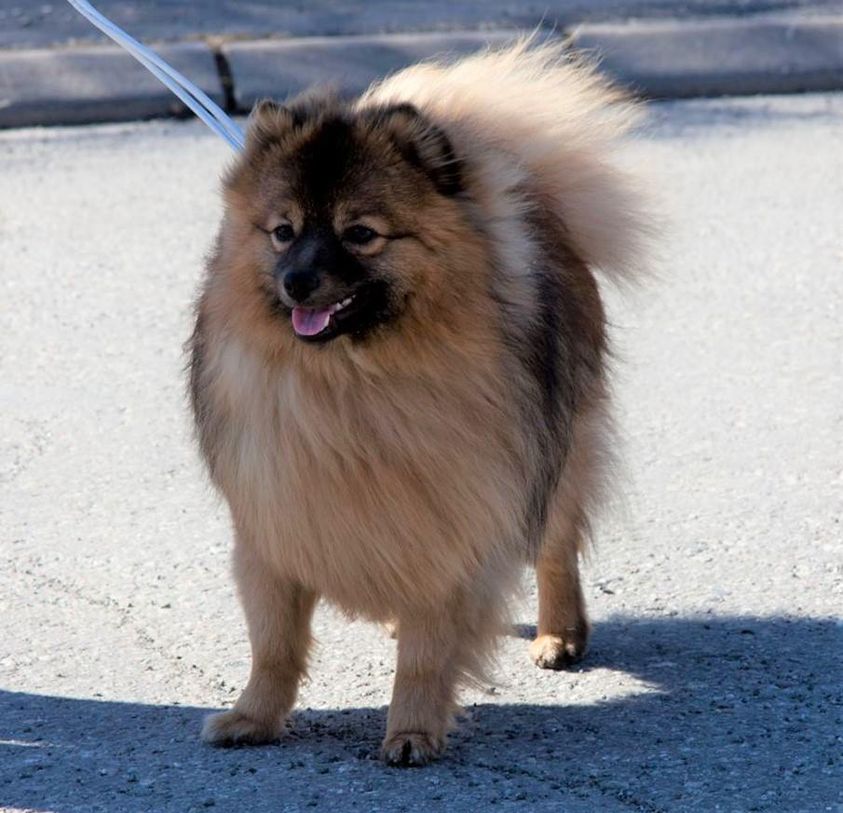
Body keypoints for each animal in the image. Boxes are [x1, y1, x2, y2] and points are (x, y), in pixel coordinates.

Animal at [191, 39, 648, 760]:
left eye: (360, 234)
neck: (352, 384)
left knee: (556, 543)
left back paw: (558, 633)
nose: (296, 282)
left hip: (558, 443)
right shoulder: (274, 519)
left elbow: (428, 653)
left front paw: (410, 730)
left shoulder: (449, 522)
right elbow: (273, 643)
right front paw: (253, 717)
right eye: (283, 231)